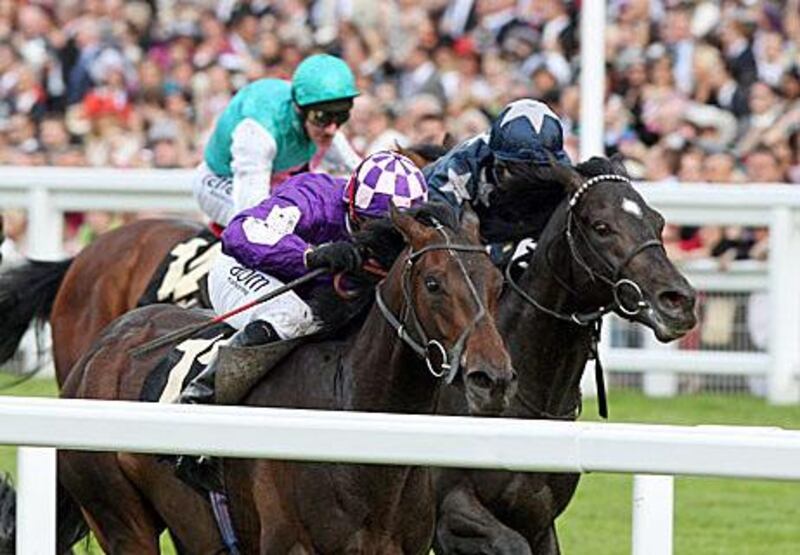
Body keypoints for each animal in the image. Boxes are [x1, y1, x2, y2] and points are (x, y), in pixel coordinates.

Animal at [428, 157, 696, 555]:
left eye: (658, 221)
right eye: (601, 226)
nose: (679, 301)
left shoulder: (539, 521)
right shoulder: (449, 511)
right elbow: (510, 544)